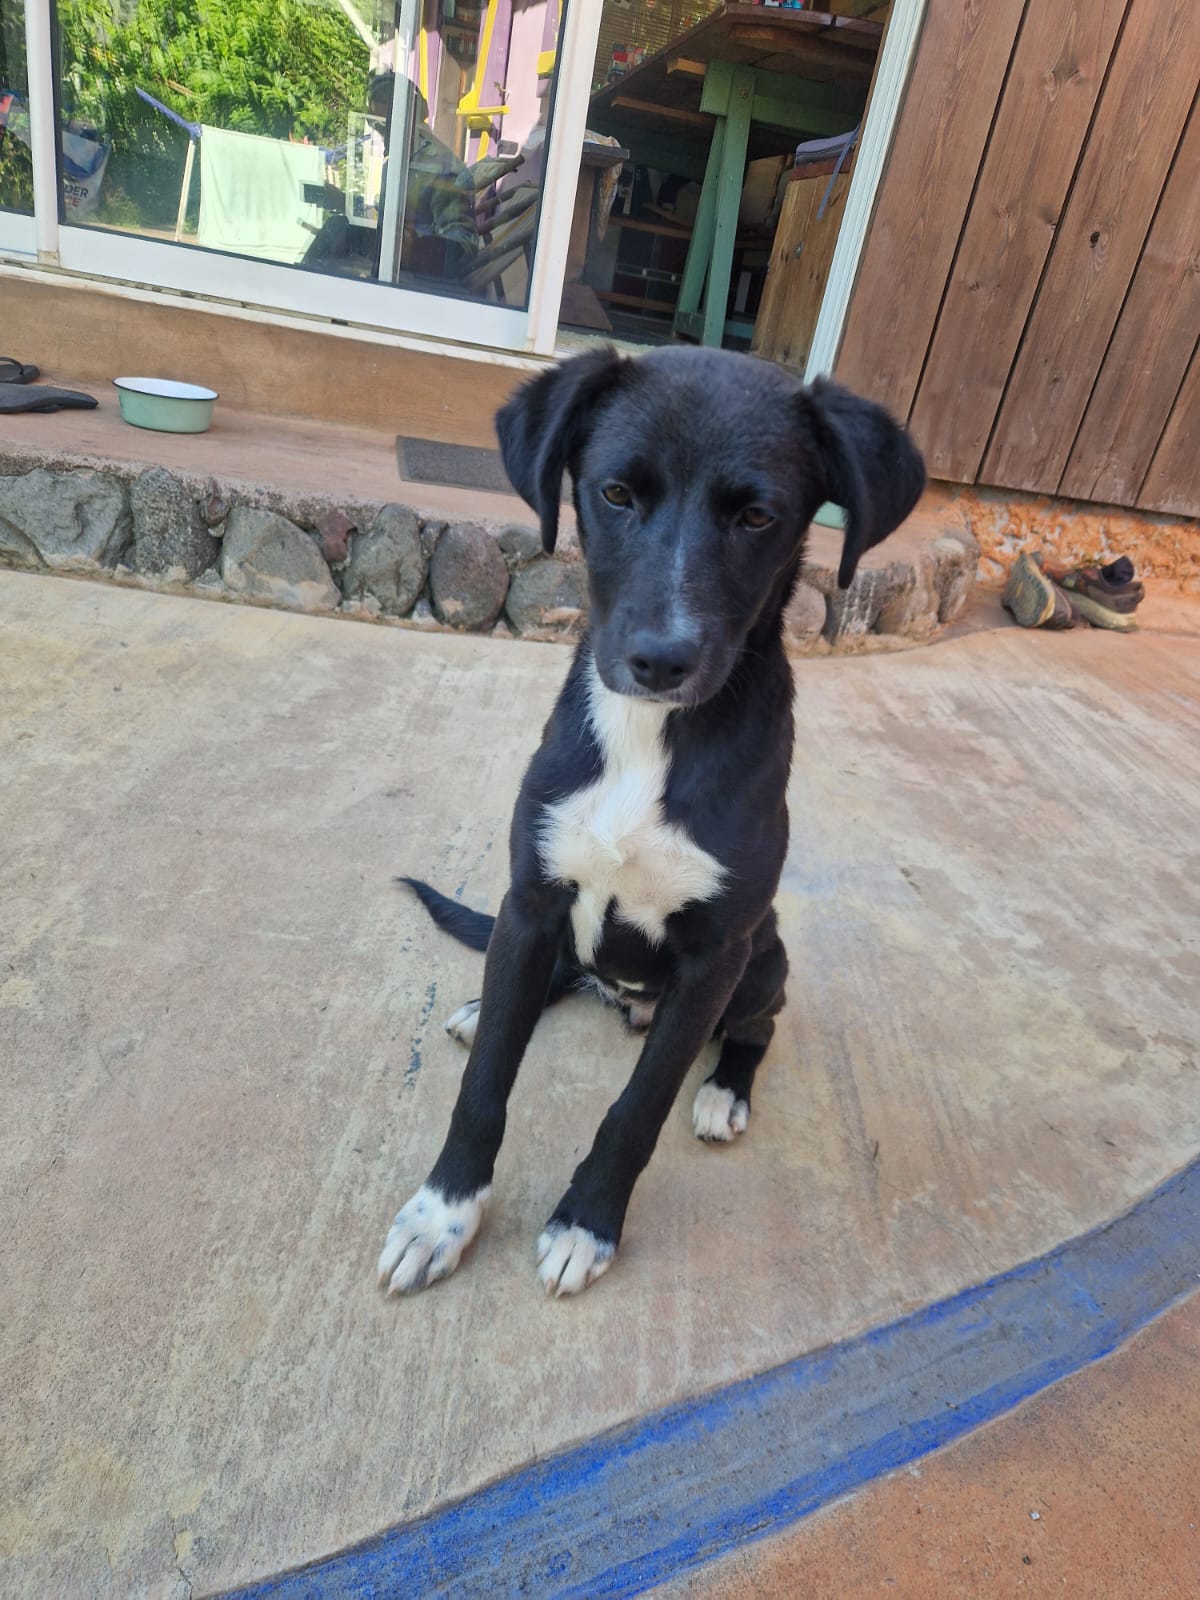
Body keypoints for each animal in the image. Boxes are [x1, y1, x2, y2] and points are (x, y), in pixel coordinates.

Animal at [378, 345, 925, 1298]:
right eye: (615, 494)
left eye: (758, 516)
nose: (660, 661)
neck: (651, 738)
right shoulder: (532, 900)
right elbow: (485, 1086)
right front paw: (443, 1213)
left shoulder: (713, 957)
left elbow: (638, 1108)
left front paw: (586, 1224)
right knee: (559, 977)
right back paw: (492, 1006)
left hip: (764, 960)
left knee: (757, 1027)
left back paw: (724, 1091)